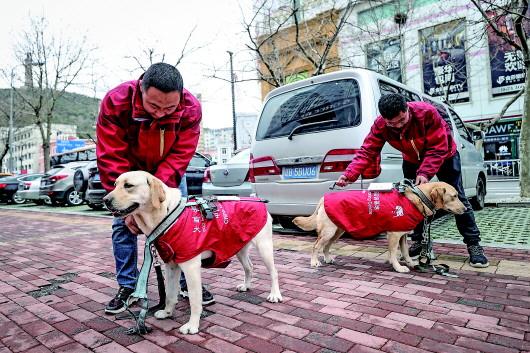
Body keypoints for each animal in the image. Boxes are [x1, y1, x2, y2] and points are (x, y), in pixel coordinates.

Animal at [104, 170, 284, 332]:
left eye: (128, 186)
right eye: (114, 184)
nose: (105, 200)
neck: (167, 214)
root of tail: (257, 199)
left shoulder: (190, 267)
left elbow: (195, 301)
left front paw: (192, 325)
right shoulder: (171, 265)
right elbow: (170, 294)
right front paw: (167, 312)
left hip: (264, 246)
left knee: (274, 272)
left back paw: (275, 295)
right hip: (238, 246)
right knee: (249, 268)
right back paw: (246, 286)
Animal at [292, 180, 462, 274]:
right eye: (454, 196)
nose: (466, 208)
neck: (418, 197)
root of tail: (323, 197)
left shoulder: (403, 235)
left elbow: (406, 252)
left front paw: (411, 263)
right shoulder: (394, 234)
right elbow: (394, 253)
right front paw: (398, 267)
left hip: (337, 231)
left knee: (326, 246)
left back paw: (328, 259)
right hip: (329, 231)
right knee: (316, 246)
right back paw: (314, 262)